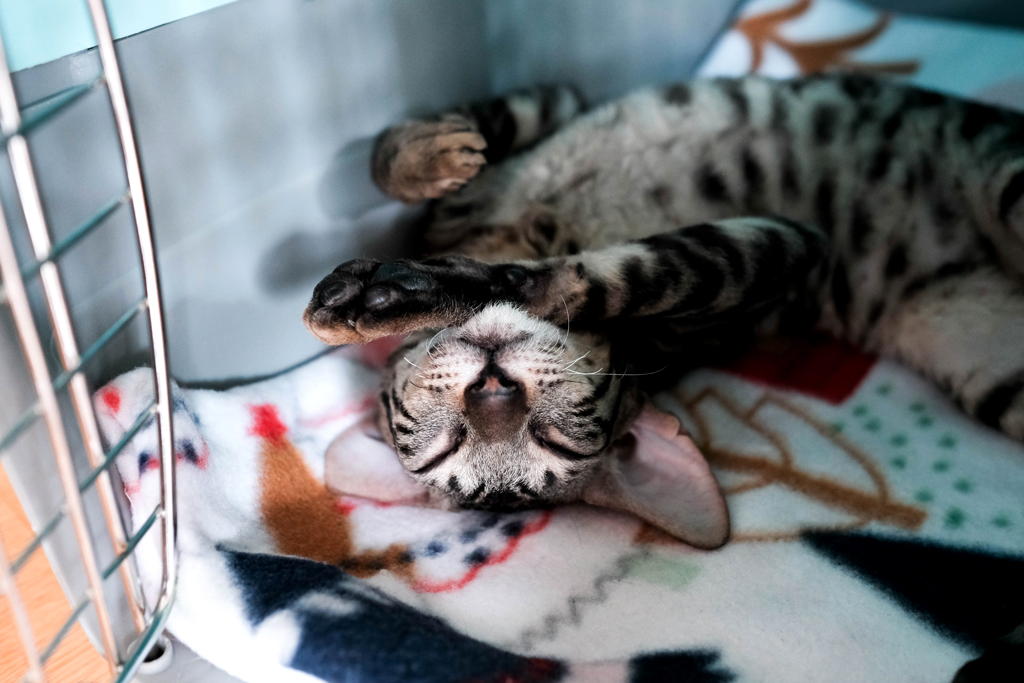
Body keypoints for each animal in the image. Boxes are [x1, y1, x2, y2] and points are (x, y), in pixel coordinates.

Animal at [301, 74, 1024, 548]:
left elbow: (592, 274)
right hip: (993, 366)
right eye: (447, 445)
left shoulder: (780, 243)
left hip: (1005, 178)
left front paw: (403, 273)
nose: (493, 390)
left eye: (556, 438)